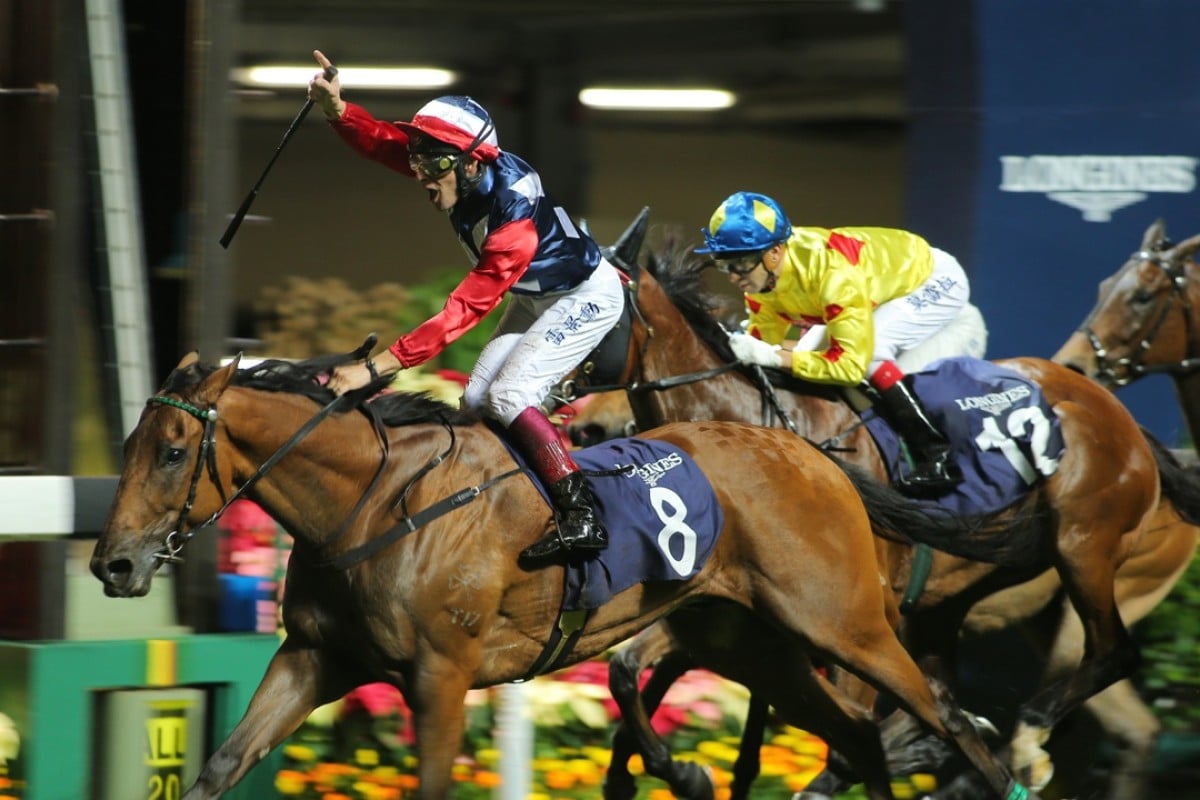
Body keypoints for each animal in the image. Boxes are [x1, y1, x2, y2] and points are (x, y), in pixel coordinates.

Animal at [93, 352, 1032, 800]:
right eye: (131, 444)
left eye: (172, 451)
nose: (114, 563)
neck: (373, 501)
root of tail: (809, 453)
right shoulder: (314, 659)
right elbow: (220, 766)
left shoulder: (440, 675)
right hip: (755, 646)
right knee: (862, 736)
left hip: (845, 625)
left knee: (943, 715)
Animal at [585, 225, 1200, 800]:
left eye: (601, 322)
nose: (587, 426)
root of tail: (1123, 420)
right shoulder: (728, 605)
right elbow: (629, 669)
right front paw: (658, 772)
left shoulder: (848, 613)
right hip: (963, 600)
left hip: (1085, 552)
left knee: (1113, 654)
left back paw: (1021, 739)